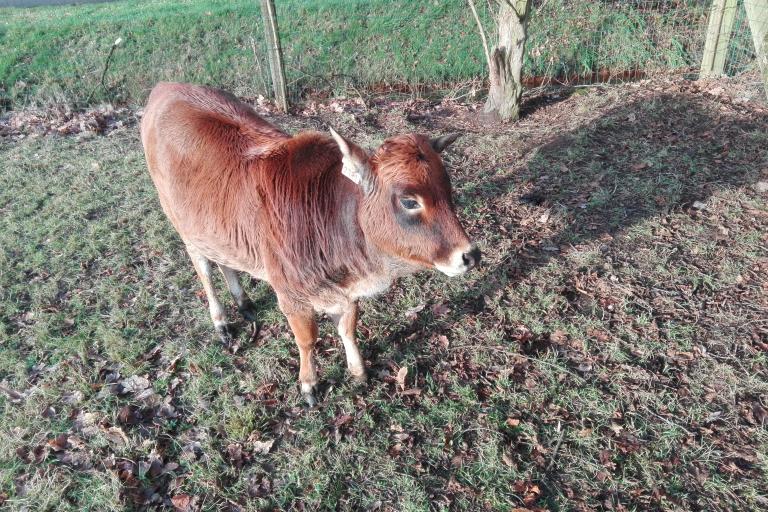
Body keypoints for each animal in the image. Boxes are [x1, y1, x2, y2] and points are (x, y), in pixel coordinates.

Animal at [140, 83, 476, 404]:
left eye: (448, 190)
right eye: (409, 201)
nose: (470, 255)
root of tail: (163, 88)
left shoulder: (345, 293)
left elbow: (348, 329)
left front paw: (358, 372)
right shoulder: (292, 296)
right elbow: (307, 340)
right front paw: (309, 384)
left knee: (226, 263)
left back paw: (244, 302)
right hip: (184, 230)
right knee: (205, 273)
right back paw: (221, 321)